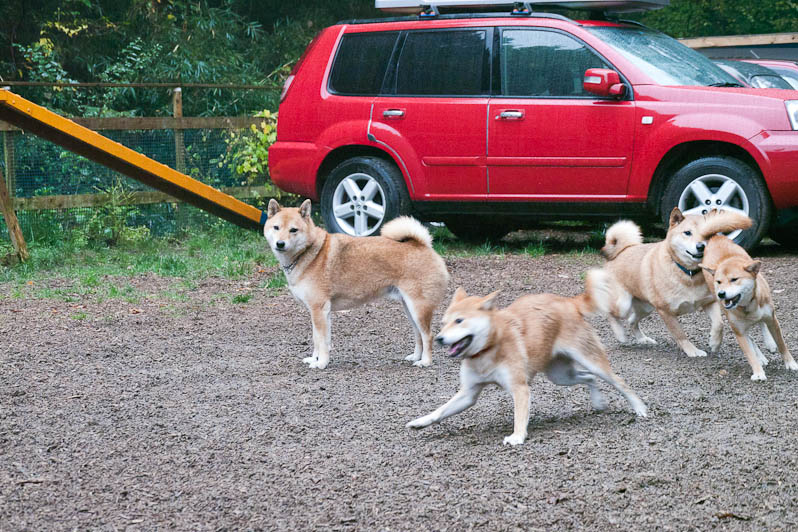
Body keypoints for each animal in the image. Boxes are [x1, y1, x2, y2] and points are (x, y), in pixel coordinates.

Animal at [264, 200, 446, 370]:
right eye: (276, 227)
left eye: (293, 230)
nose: (280, 243)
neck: (309, 253)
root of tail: (422, 245)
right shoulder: (321, 312)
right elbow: (319, 340)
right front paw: (315, 359)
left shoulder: (318, 309)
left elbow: (320, 341)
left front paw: (321, 363)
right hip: (409, 309)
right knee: (418, 335)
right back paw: (415, 357)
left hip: (418, 308)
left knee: (428, 336)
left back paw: (425, 362)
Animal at [406, 272, 648, 446]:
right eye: (444, 323)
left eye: (459, 321)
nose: (439, 339)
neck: (487, 350)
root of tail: (569, 302)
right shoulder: (468, 394)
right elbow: (440, 411)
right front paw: (421, 421)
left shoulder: (520, 389)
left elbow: (519, 415)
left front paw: (517, 436)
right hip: (560, 375)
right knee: (589, 378)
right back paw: (598, 402)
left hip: (591, 361)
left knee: (619, 382)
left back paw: (640, 408)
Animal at [700, 235, 798, 380]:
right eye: (718, 282)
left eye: (734, 279)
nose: (721, 294)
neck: (747, 305)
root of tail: (716, 237)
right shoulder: (739, 331)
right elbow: (750, 354)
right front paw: (758, 372)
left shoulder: (772, 320)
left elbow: (782, 344)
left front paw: (791, 363)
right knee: (751, 336)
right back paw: (761, 357)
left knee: (762, 323)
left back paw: (769, 343)